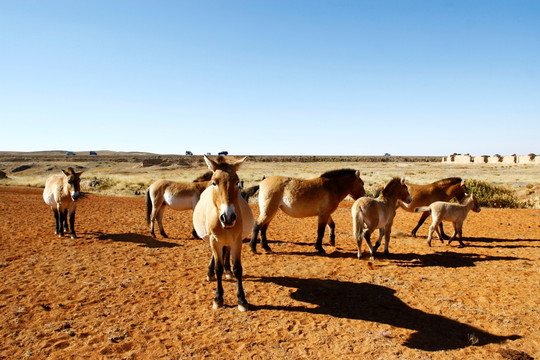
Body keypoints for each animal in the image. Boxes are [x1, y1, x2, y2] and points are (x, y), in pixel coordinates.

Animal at [193, 156, 254, 310]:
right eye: (214, 182)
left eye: (237, 182)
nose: (228, 217)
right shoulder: (214, 240)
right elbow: (218, 267)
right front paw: (218, 298)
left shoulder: (237, 240)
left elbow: (238, 268)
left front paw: (242, 300)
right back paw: (211, 273)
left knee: (226, 251)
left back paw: (228, 271)